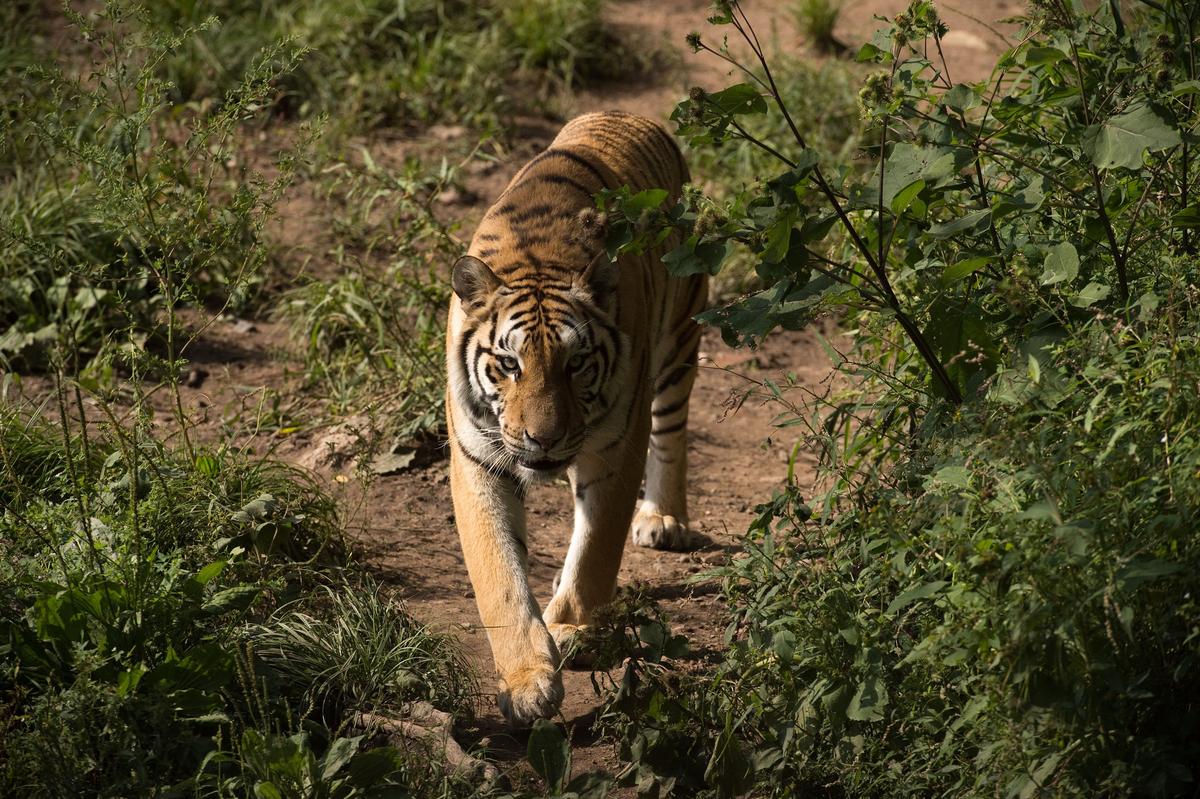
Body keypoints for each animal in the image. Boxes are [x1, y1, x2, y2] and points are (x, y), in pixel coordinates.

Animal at [444, 110, 707, 726]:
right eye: (509, 364)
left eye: (577, 363)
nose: (544, 438)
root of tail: (624, 114)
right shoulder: (477, 461)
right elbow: (500, 575)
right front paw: (527, 682)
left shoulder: (615, 449)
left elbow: (596, 550)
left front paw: (572, 631)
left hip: (681, 336)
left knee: (672, 431)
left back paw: (663, 518)